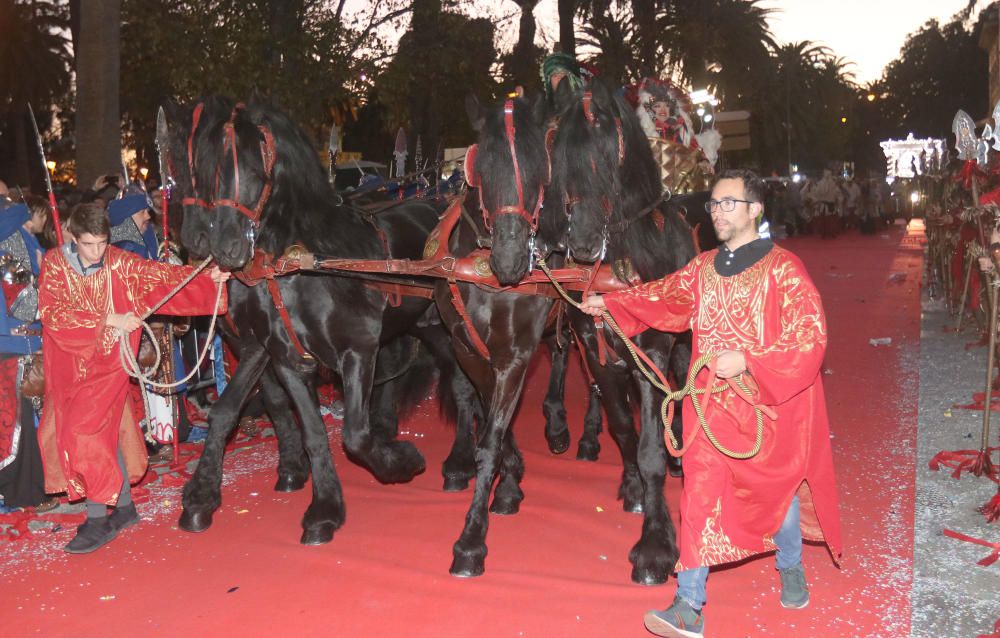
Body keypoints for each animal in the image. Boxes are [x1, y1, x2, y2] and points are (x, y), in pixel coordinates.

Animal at [160, 97, 480, 548]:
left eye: (253, 170)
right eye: (190, 172)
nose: (221, 246)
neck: (306, 262)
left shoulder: (356, 351)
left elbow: (355, 434)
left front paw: (401, 461)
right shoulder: (280, 354)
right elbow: (285, 421)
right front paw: (322, 506)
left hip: (451, 333)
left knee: (467, 388)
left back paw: (463, 461)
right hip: (423, 329)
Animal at [548, 79, 696, 584]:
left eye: (608, 154)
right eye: (559, 155)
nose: (582, 242)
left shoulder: (650, 352)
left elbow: (650, 447)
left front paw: (656, 546)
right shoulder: (598, 357)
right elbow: (625, 429)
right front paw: (634, 489)